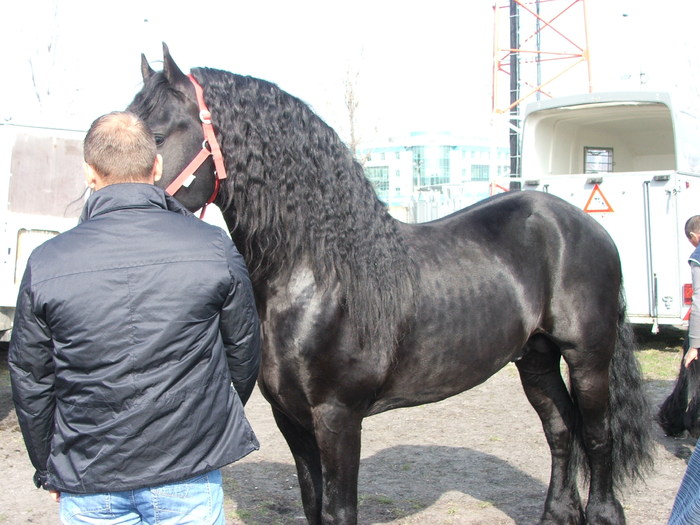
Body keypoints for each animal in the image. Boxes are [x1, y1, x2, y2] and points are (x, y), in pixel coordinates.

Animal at [127, 45, 656, 524]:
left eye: (157, 135)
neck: (317, 280)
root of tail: (580, 222)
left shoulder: (338, 418)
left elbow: (339, 510)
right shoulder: (290, 419)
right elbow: (312, 505)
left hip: (588, 357)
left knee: (597, 436)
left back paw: (604, 512)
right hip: (536, 357)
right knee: (561, 430)